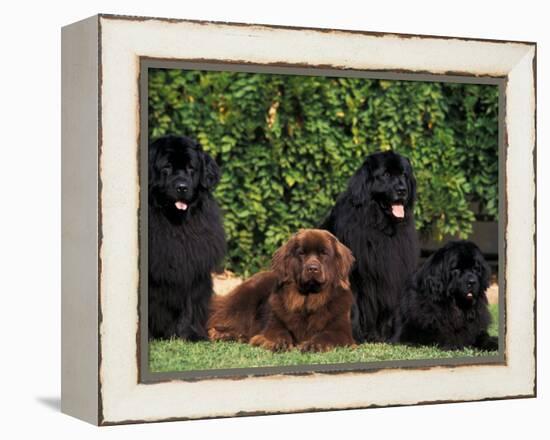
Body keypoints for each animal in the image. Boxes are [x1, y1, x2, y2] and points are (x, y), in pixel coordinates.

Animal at [148, 134, 227, 340]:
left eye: (191, 168)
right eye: (166, 167)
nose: (182, 187)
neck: (176, 224)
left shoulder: (192, 266)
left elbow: (189, 305)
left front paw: (189, 335)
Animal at [208, 229, 358, 352]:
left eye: (324, 253)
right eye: (301, 253)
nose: (312, 268)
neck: (308, 300)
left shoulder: (341, 330)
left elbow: (327, 336)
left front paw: (312, 345)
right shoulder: (275, 323)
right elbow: (279, 333)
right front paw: (278, 343)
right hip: (243, 303)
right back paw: (222, 335)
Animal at [322, 151, 420, 344]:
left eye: (404, 175)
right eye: (386, 175)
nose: (402, 190)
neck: (380, 226)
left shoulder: (390, 274)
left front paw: (385, 336)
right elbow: (353, 306)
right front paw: (353, 337)